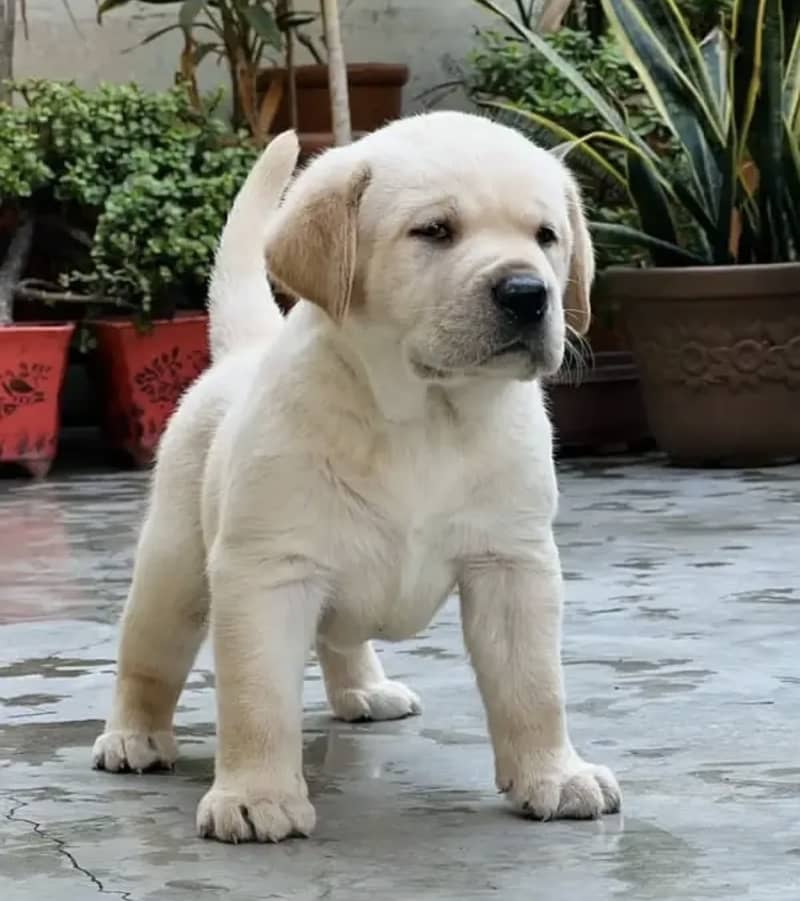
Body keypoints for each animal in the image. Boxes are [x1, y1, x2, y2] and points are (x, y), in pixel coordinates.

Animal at [92, 114, 620, 844]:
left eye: (546, 236)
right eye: (434, 230)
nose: (528, 293)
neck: (426, 416)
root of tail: (241, 352)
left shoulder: (514, 563)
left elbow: (535, 686)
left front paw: (554, 775)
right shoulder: (267, 570)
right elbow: (257, 698)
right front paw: (255, 795)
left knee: (338, 634)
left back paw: (364, 689)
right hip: (174, 565)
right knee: (147, 654)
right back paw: (133, 736)